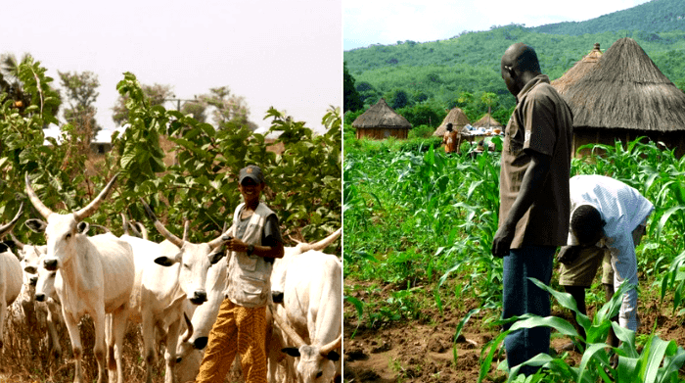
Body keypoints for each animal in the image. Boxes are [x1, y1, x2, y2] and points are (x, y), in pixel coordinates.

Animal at [25, 174, 135, 383]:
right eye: (46, 235)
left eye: (68, 234)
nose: (50, 262)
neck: (75, 282)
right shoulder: (68, 314)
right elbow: (76, 349)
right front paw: (78, 379)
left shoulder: (97, 313)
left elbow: (98, 350)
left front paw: (101, 379)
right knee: (110, 345)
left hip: (121, 307)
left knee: (116, 347)